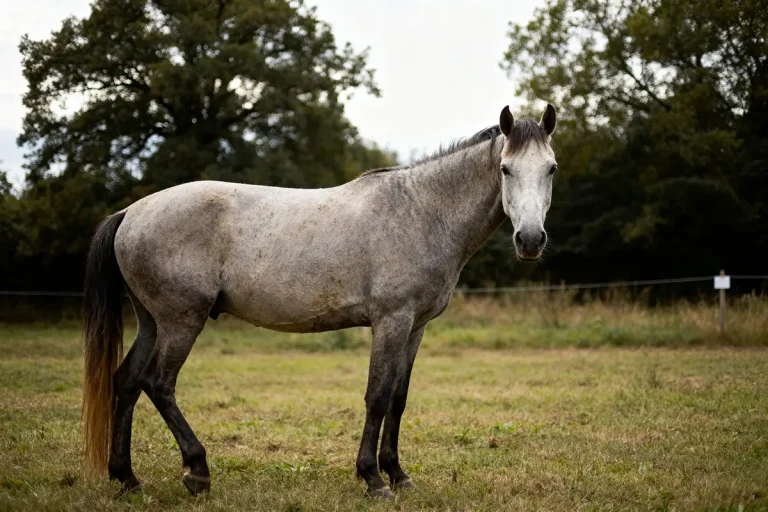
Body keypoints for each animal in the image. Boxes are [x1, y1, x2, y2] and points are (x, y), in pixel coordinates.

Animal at [82, 103, 558, 499]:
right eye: (505, 169)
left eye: (551, 169)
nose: (530, 240)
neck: (423, 211)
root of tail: (131, 212)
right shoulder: (391, 321)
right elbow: (377, 397)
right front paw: (373, 479)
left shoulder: (416, 327)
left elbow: (399, 399)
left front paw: (399, 475)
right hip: (181, 320)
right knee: (158, 383)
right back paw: (197, 472)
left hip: (152, 322)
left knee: (127, 382)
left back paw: (127, 479)